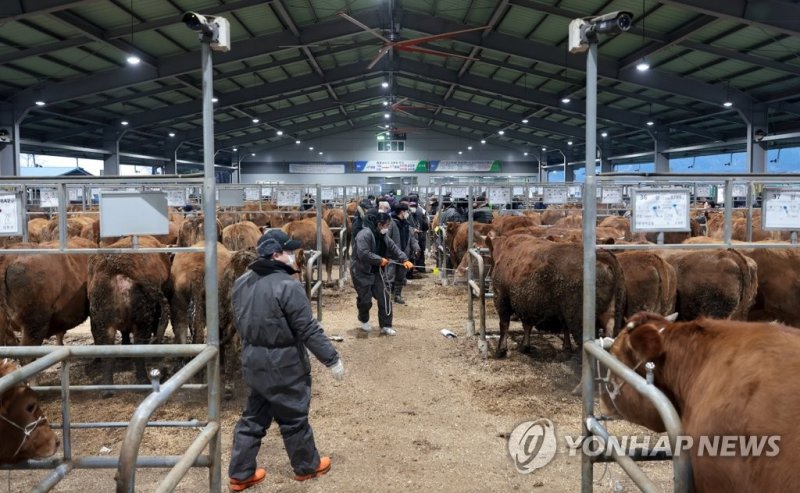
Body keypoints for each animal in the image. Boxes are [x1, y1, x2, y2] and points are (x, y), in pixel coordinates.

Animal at [88, 235, 171, 384]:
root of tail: (118, 270)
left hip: (104, 321)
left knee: (108, 354)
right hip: (143, 319)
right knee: (139, 348)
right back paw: (144, 378)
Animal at [488, 235, 624, 358]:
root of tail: (600, 254)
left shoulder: (501, 297)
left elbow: (504, 324)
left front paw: (501, 350)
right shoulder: (527, 304)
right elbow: (528, 325)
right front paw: (525, 347)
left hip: (580, 321)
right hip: (609, 314)